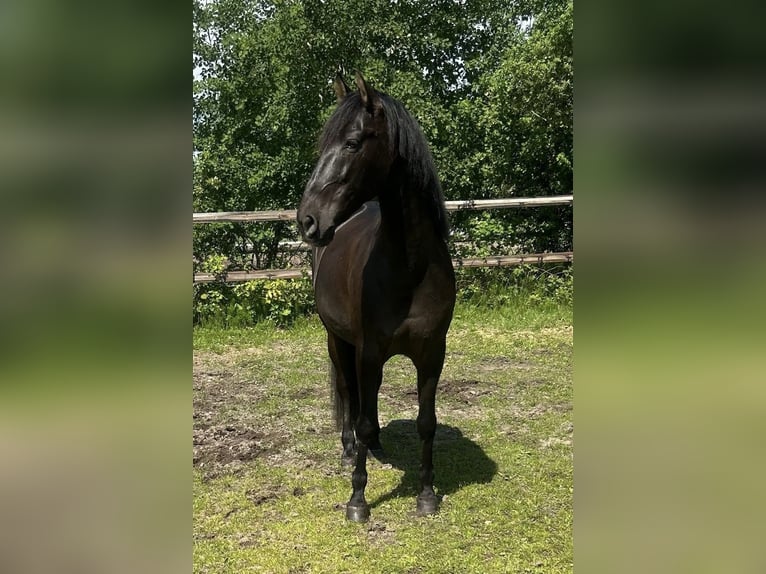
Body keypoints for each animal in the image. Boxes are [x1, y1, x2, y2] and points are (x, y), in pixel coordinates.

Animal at [297, 72, 456, 522]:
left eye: (352, 143)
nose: (307, 220)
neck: (409, 268)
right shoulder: (367, 351)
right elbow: (362, 417)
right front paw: (358, 500)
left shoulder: (431, 353)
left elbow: (426, 422)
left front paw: (426, 495)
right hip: (338, 342)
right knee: (350, 396)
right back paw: (351, 450)